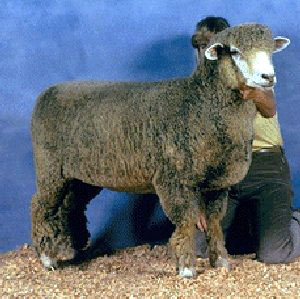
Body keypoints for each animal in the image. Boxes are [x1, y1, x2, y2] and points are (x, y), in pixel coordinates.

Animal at [31, 24, 290, 278]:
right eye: (234, 51)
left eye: (270, 50)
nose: (268, 77)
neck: (199, 103)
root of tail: (48, 91)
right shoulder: (173, 178)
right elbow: (186, 221)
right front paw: (186, 269)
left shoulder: (217, 183)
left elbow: (215, 221)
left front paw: (221, 262)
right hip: (50, 169)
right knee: (40, 206)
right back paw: (47, 259)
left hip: (80, 176)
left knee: (69, 207)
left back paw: (71, 250)